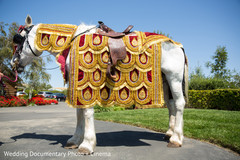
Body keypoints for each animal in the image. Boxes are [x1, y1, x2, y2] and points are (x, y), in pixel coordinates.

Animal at [10, 15, 188, 154]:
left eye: (18, 39)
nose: (13, 62)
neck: (72, 42)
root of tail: (177, 45)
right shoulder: (78, 83)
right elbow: (79, 112)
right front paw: (75, 139)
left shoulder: (87, 82)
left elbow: (87, 112)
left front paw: (87, 144)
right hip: (165, 81)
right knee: (171, 105)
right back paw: (169, 133)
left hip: (174, 78)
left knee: (179, 104)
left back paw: (176, 139)